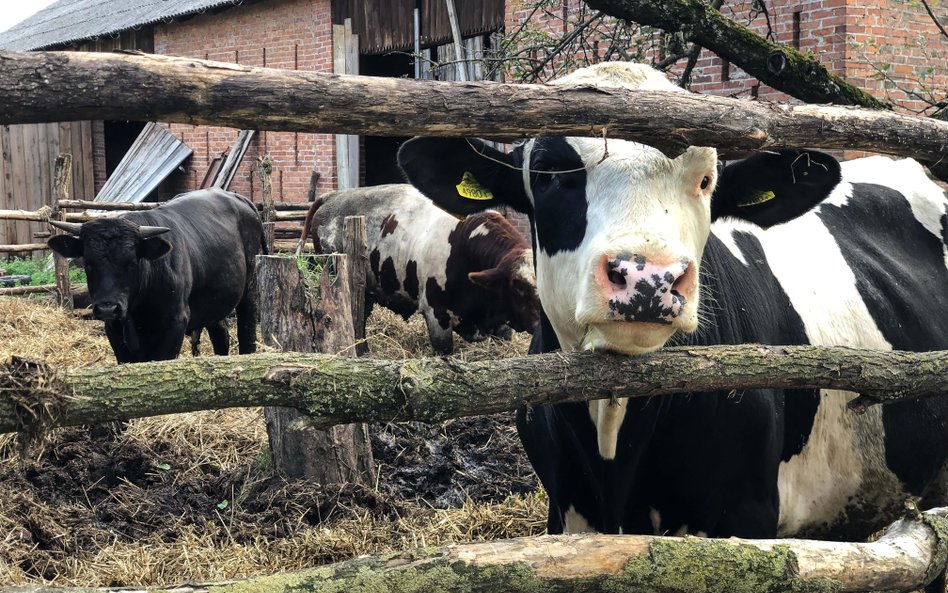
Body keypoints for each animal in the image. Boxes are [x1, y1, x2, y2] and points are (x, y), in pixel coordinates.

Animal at [50, 187, 268, 360]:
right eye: (88, 263)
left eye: (132, 262)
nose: (107, 308)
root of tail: (238, 198)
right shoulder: (114, 328)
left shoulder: (175, 322)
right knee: (221, 333)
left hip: (249, 289)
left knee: (247, 330)